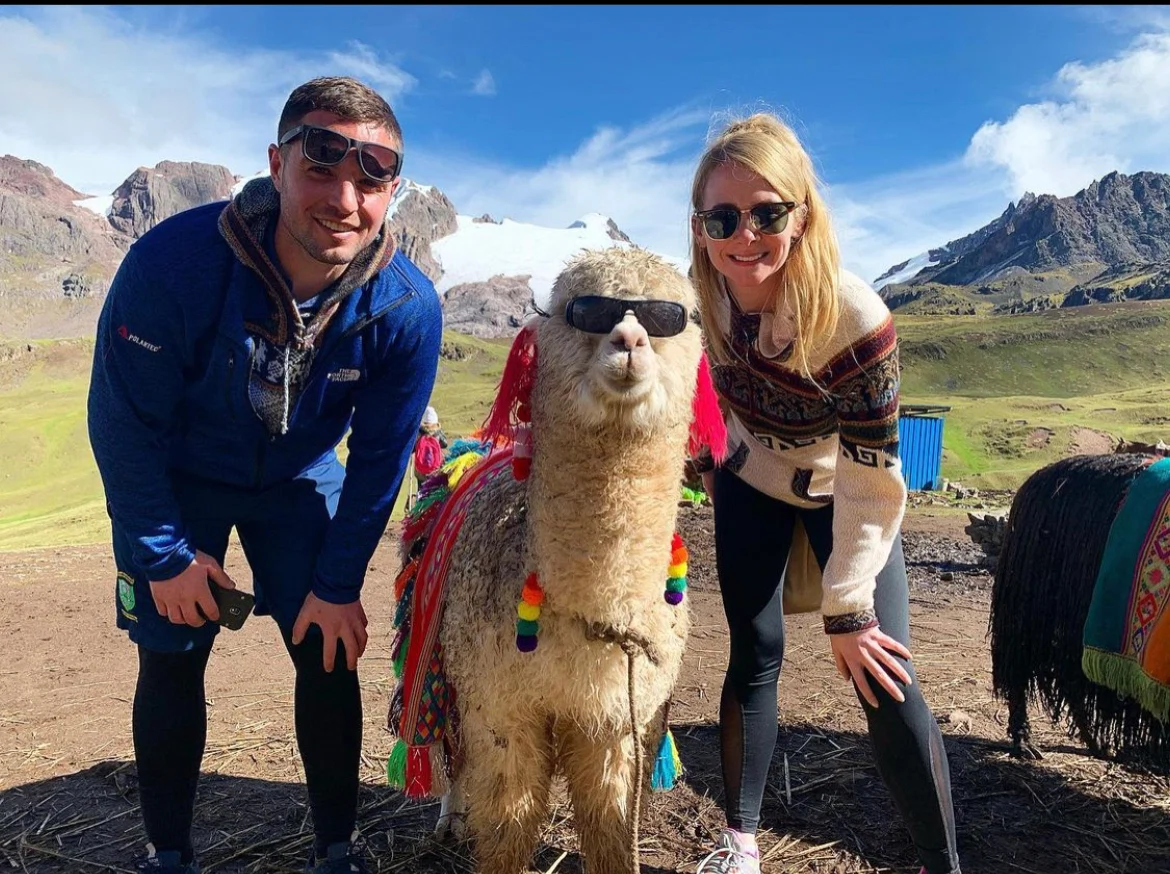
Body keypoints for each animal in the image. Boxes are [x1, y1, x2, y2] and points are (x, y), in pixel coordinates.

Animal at [385, 245, 726, 874]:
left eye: (670, 316)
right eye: (582, 310)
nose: (628, 339)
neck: (595, 616)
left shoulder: (620, 725)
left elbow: (610, 828)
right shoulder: (503, 710)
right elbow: (509, 826)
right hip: (443, 657)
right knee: (451, 750)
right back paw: (449, 818)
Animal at [989, 452, 1169, 773]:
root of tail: (1036, 478)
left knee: (1072, 677)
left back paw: (1098, 743)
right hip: (1029, 606)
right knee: (1021, 670)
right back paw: (1025, 743)